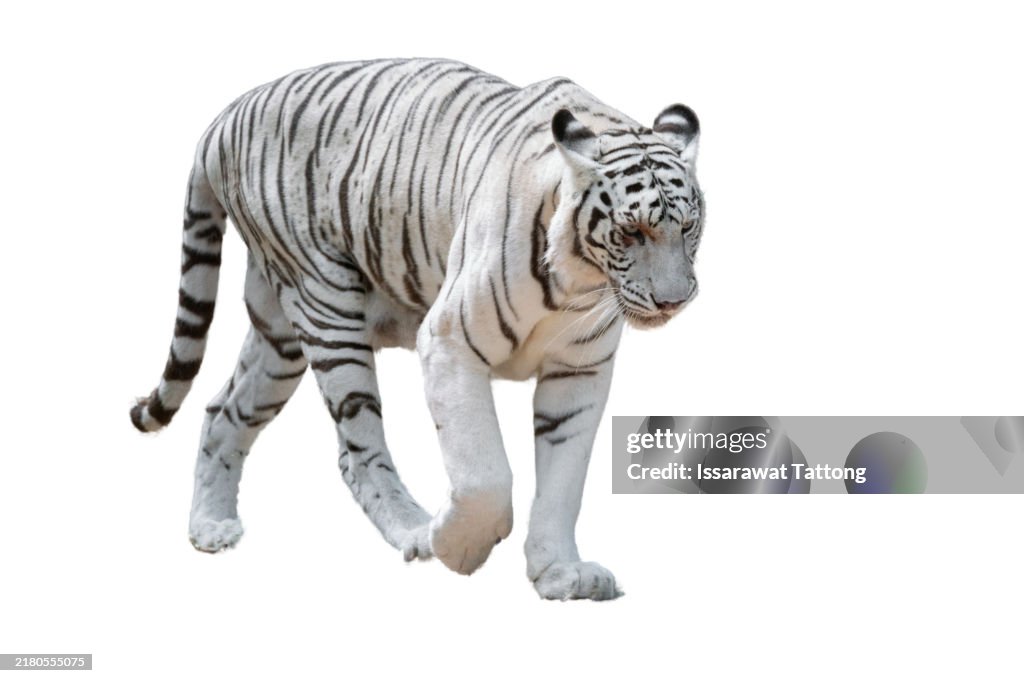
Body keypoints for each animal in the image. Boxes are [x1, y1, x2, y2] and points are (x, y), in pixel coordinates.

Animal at [131, 58, 703, 601]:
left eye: (689, 227)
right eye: (632, 231)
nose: (674, 300)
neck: (581, 282)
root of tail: (225, 117)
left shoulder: (578, 372)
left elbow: (564, 479)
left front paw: (560, 572)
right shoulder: (450, 341)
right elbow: (484, 475)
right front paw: (458, 546)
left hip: (280, 336)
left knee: (223, 411)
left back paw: (211, 526)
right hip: (326, 308)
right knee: (356, 451)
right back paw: (413, 532)